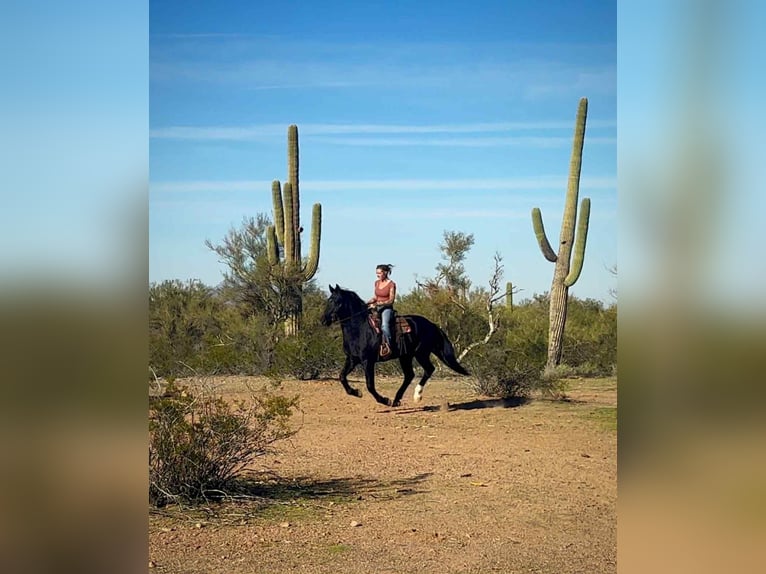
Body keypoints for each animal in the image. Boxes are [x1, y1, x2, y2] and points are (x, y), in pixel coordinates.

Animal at [320, 284, 470, 407]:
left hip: (420, 353)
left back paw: (416, 396)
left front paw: (384, 400)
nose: (323, 320)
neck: (360, 328)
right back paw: (397, 399)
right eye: (329, 300)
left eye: (336, 301)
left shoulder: (368, 361)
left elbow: (370, 385)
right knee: (409, 375)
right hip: (406, 356)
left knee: (429, 369)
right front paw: (355, 392)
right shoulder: (352, 359)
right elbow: (342, 377)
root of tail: (431, 325)